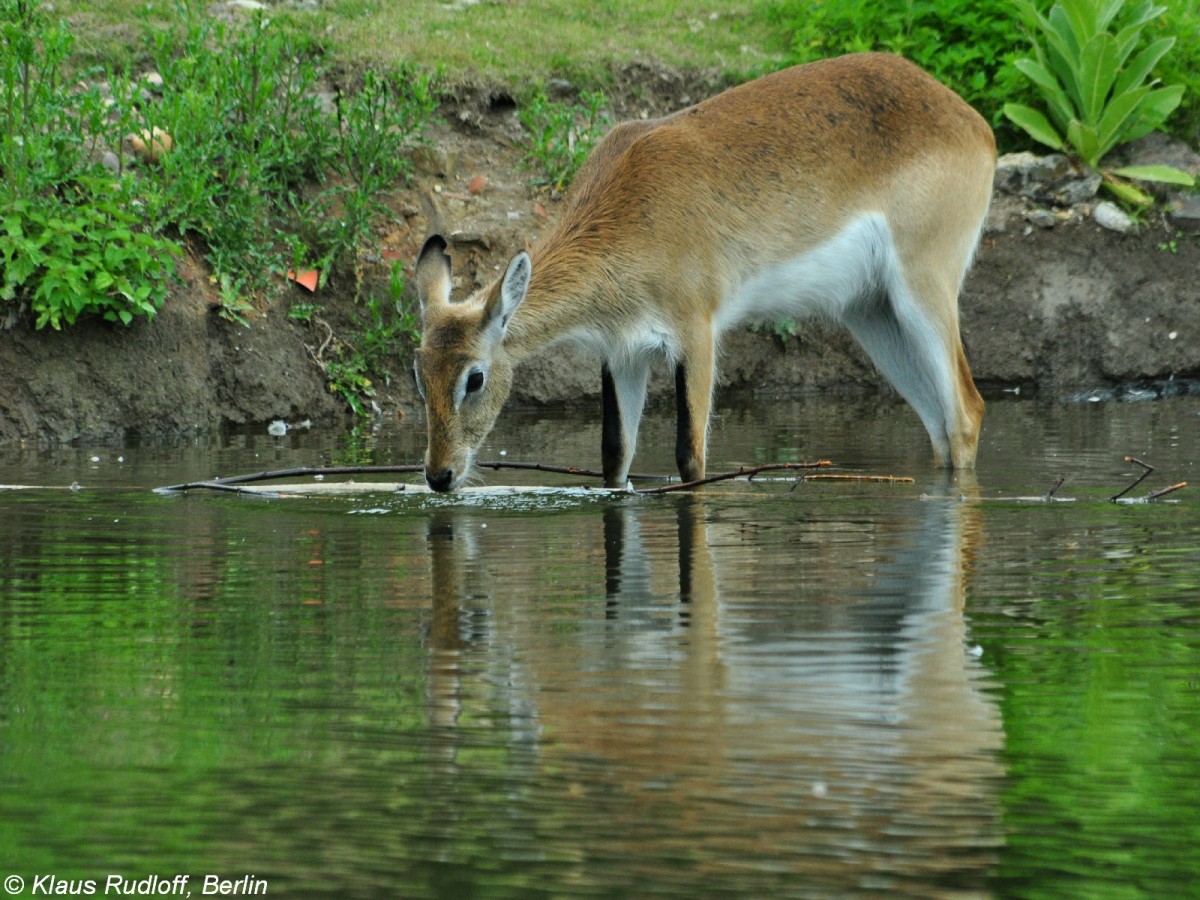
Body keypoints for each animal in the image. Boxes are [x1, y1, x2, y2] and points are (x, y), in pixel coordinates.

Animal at [412, 51, 993, 489]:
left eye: (474, 377)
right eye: (420, 374)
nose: (439, 475)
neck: (634, 206)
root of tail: (972, 121)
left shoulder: (697, 334)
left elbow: (691, 457)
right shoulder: (622, 352)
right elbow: (615, 458)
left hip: (923, 288)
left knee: (967, 410)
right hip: (872, 313)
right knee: (940, 424)